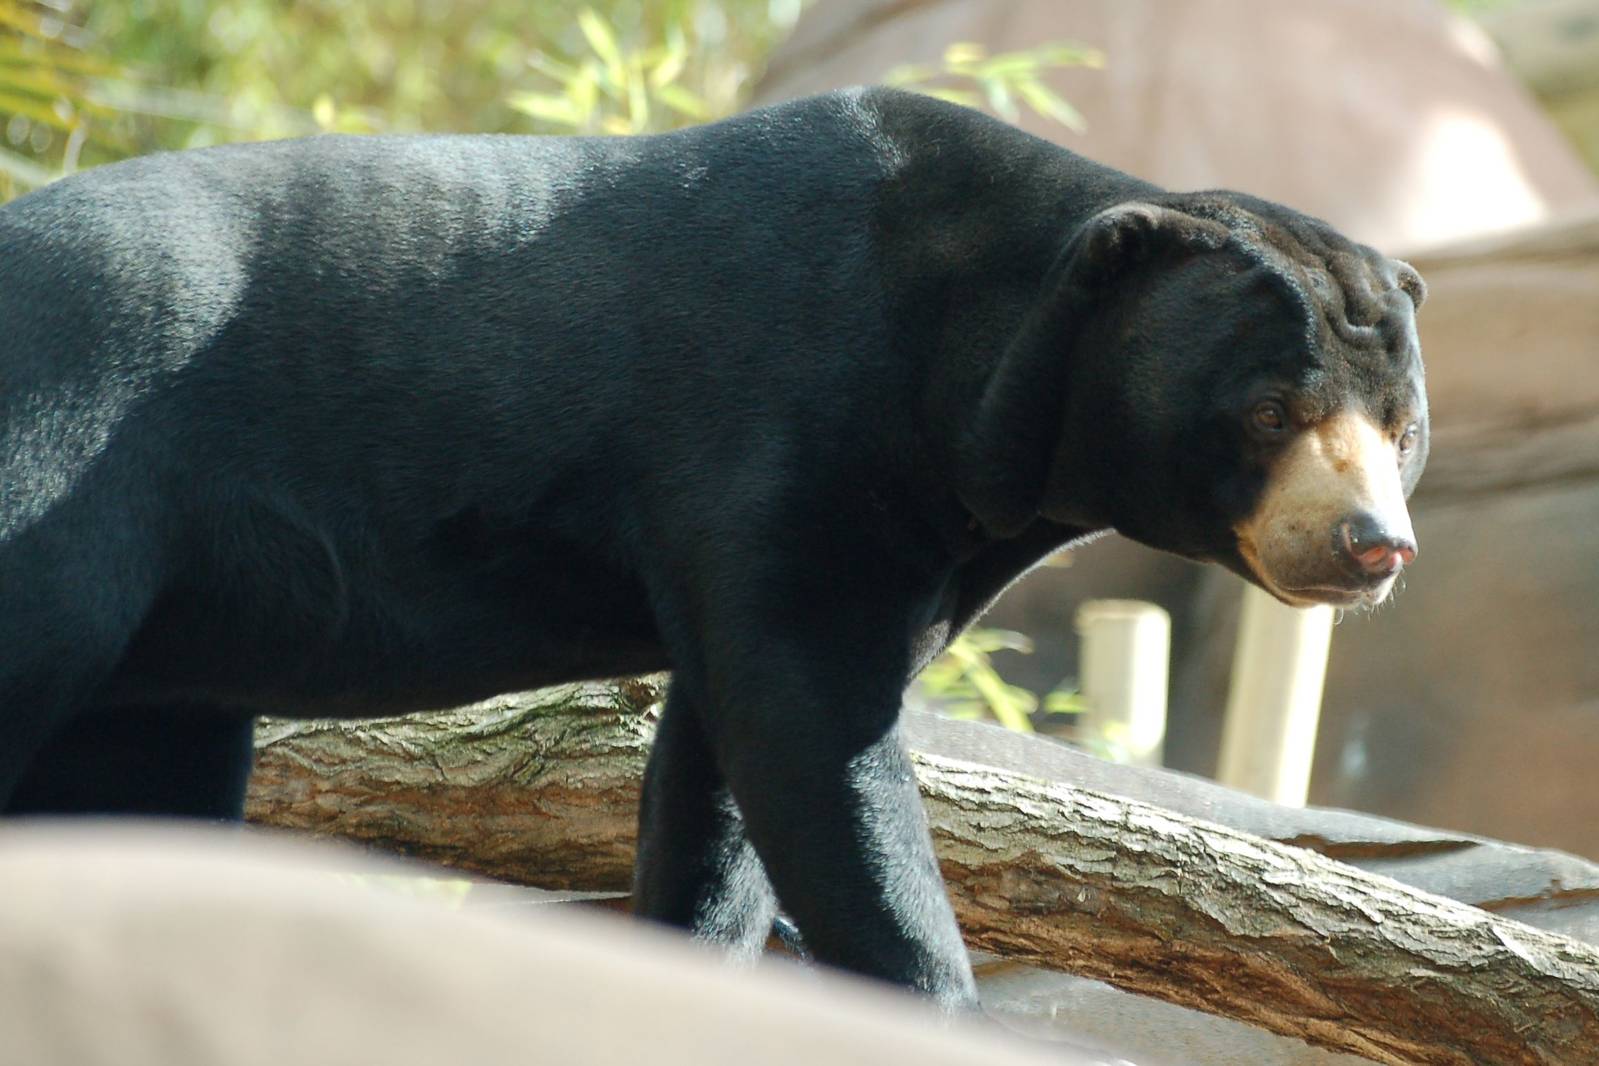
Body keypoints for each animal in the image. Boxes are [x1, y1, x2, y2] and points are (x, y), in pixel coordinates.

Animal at [0, 87, 1426, 1009]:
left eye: (1401, 427)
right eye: (1271, 411)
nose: (1374, 548)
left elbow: (718, 781)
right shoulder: (789, 436)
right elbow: (814, 738)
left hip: (171, 638)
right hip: (64, 469)